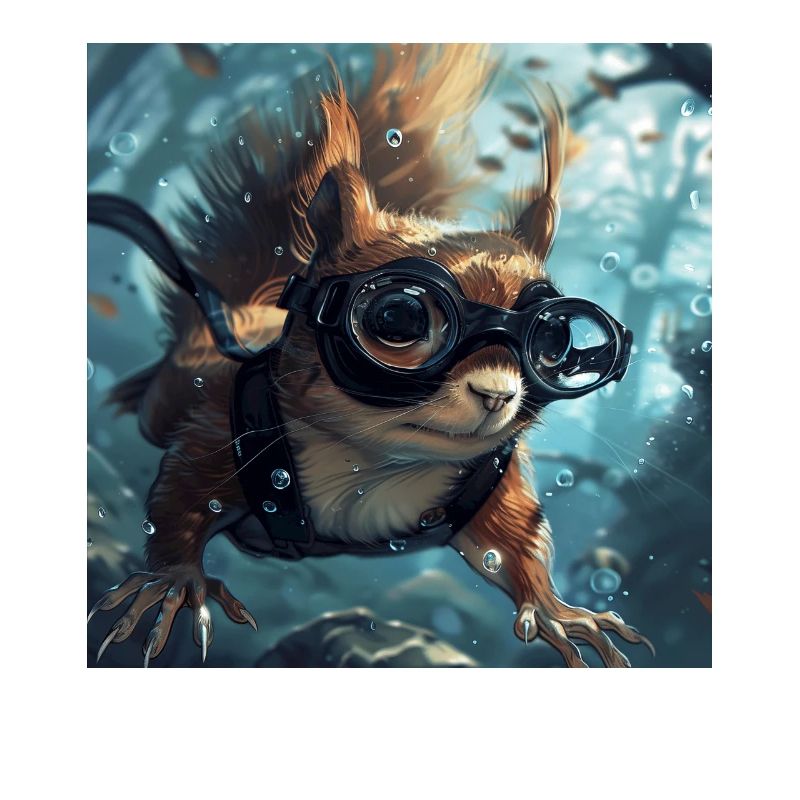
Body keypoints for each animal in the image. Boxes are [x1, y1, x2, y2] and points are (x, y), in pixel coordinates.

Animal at [88, 43, 652, 667]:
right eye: (398, 318)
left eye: (555, 342)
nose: (497, 395)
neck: (379, 464)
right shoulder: (216, 437)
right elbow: (179, 502)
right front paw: (174, 584)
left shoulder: (494, 489)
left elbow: (516, 543)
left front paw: (557, 611)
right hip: (173, 396)